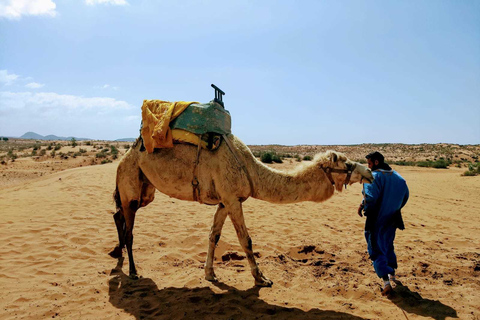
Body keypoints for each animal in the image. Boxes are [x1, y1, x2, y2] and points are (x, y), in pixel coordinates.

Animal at [110, 134, 374, 286]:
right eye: (347, 163)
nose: (369, 172)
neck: (251, 171)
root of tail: (124, 156)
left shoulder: (226, 200)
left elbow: (214, 235)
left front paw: (210, 274)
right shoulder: (231, 199)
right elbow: (245, 239)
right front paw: (261, 278)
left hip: (145, 189)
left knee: (118, 213)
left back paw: (117, 256)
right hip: (131, 181)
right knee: (128, 225)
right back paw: (133, 271)